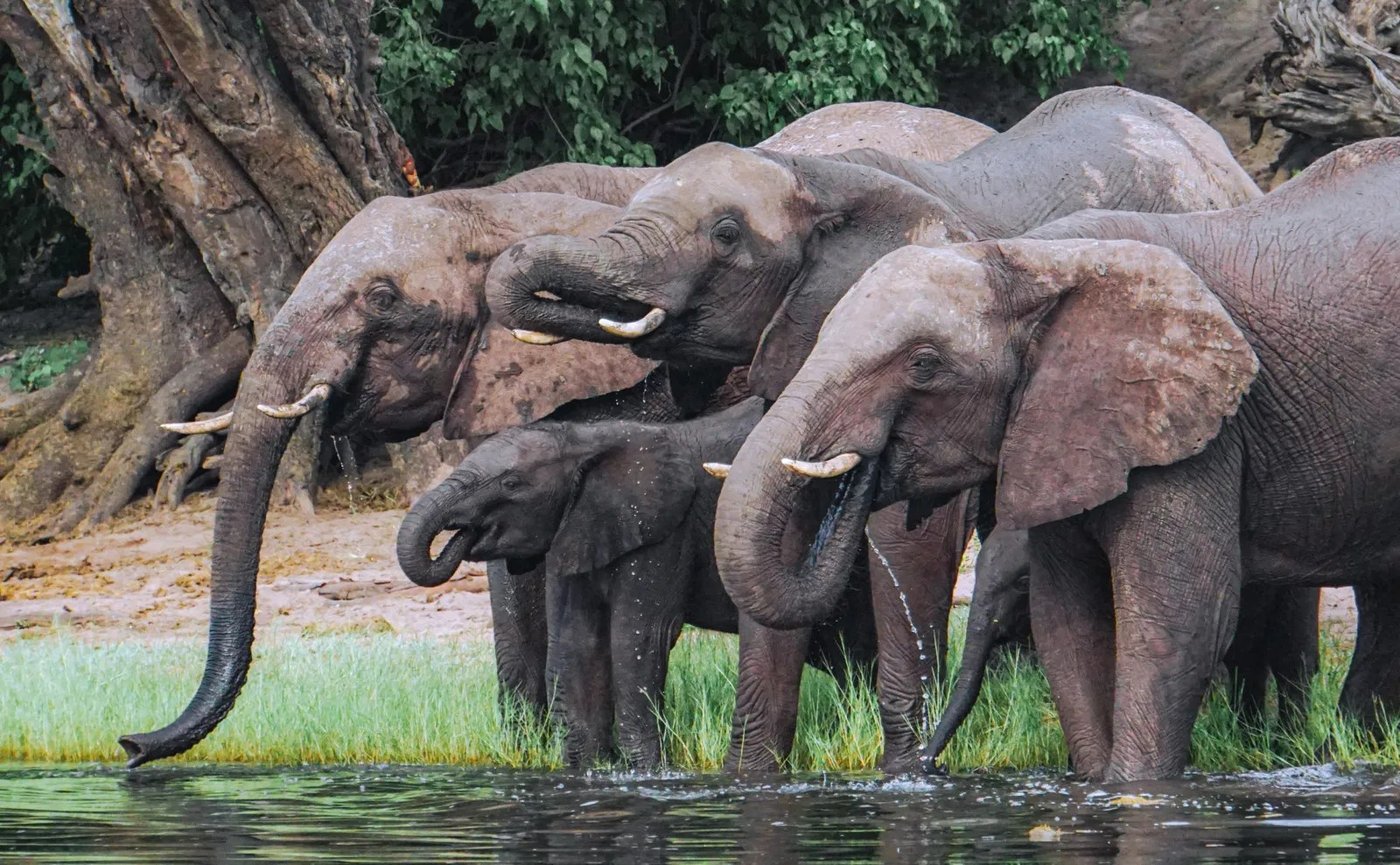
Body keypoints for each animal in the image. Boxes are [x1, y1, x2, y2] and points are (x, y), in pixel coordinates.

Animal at [395, 397, 879, 771]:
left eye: (511, 483)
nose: (457, 537)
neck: (586, 442)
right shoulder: (580, 526)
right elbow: (576, 640)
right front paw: (589, 770)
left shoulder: (664, 529)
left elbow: (638, 637)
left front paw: (649, 772)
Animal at [921, 529, 1319, 771]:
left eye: (1022, 583)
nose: (931, 765)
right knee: (1249, 662)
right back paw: (1251, 741)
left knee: (1290, 658)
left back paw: (1287, 745)